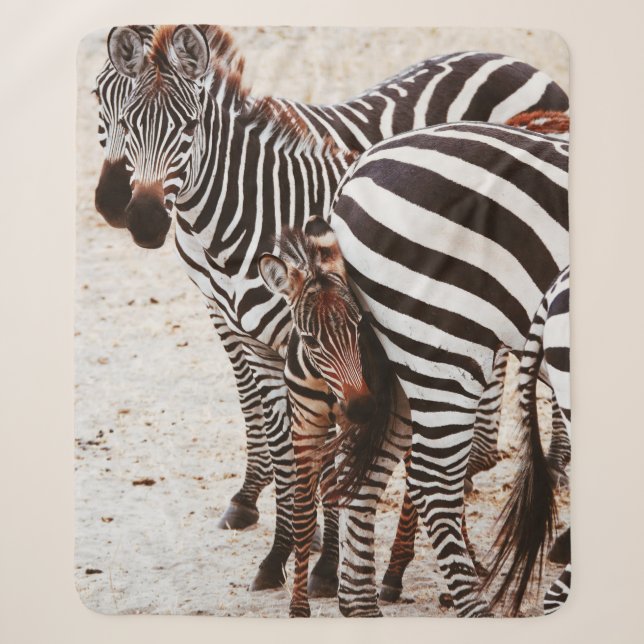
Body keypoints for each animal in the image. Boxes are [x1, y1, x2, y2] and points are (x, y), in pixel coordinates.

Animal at [102, 23, 569, 593]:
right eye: (123, 121)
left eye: (189, 128)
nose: (142, 220)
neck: (259, 218)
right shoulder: (259, 345)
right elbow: (286, 451)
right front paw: (280, 554)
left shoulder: (328, 348)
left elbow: (329, 457)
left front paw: (324, 565)